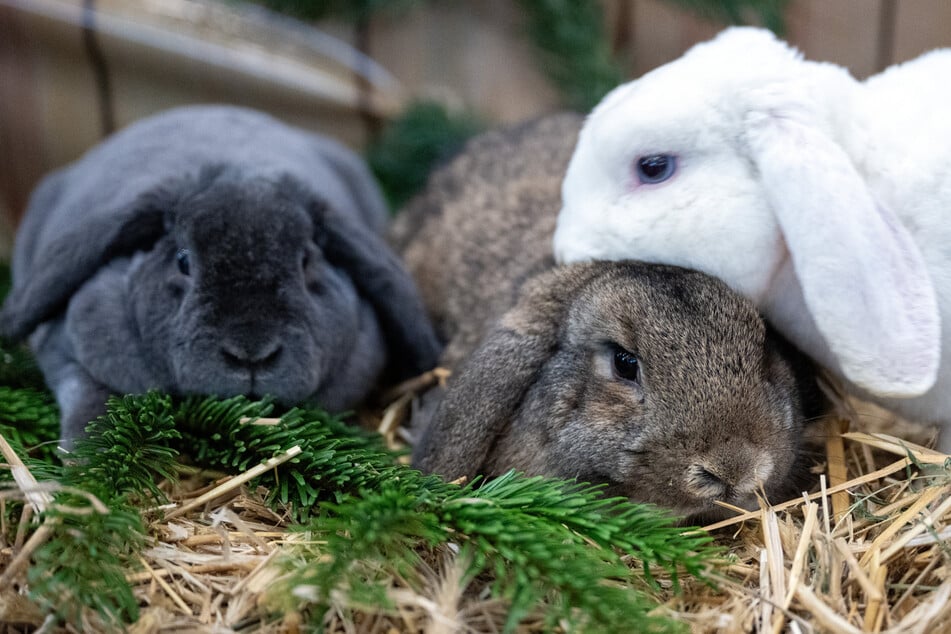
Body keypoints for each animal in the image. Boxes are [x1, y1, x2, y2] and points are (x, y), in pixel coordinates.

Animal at [1, 105, 442, 444]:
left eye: (306, 262)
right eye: (183, 261)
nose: (252, 354)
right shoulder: (70, 354)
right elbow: (92, 403)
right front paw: (81, 467)